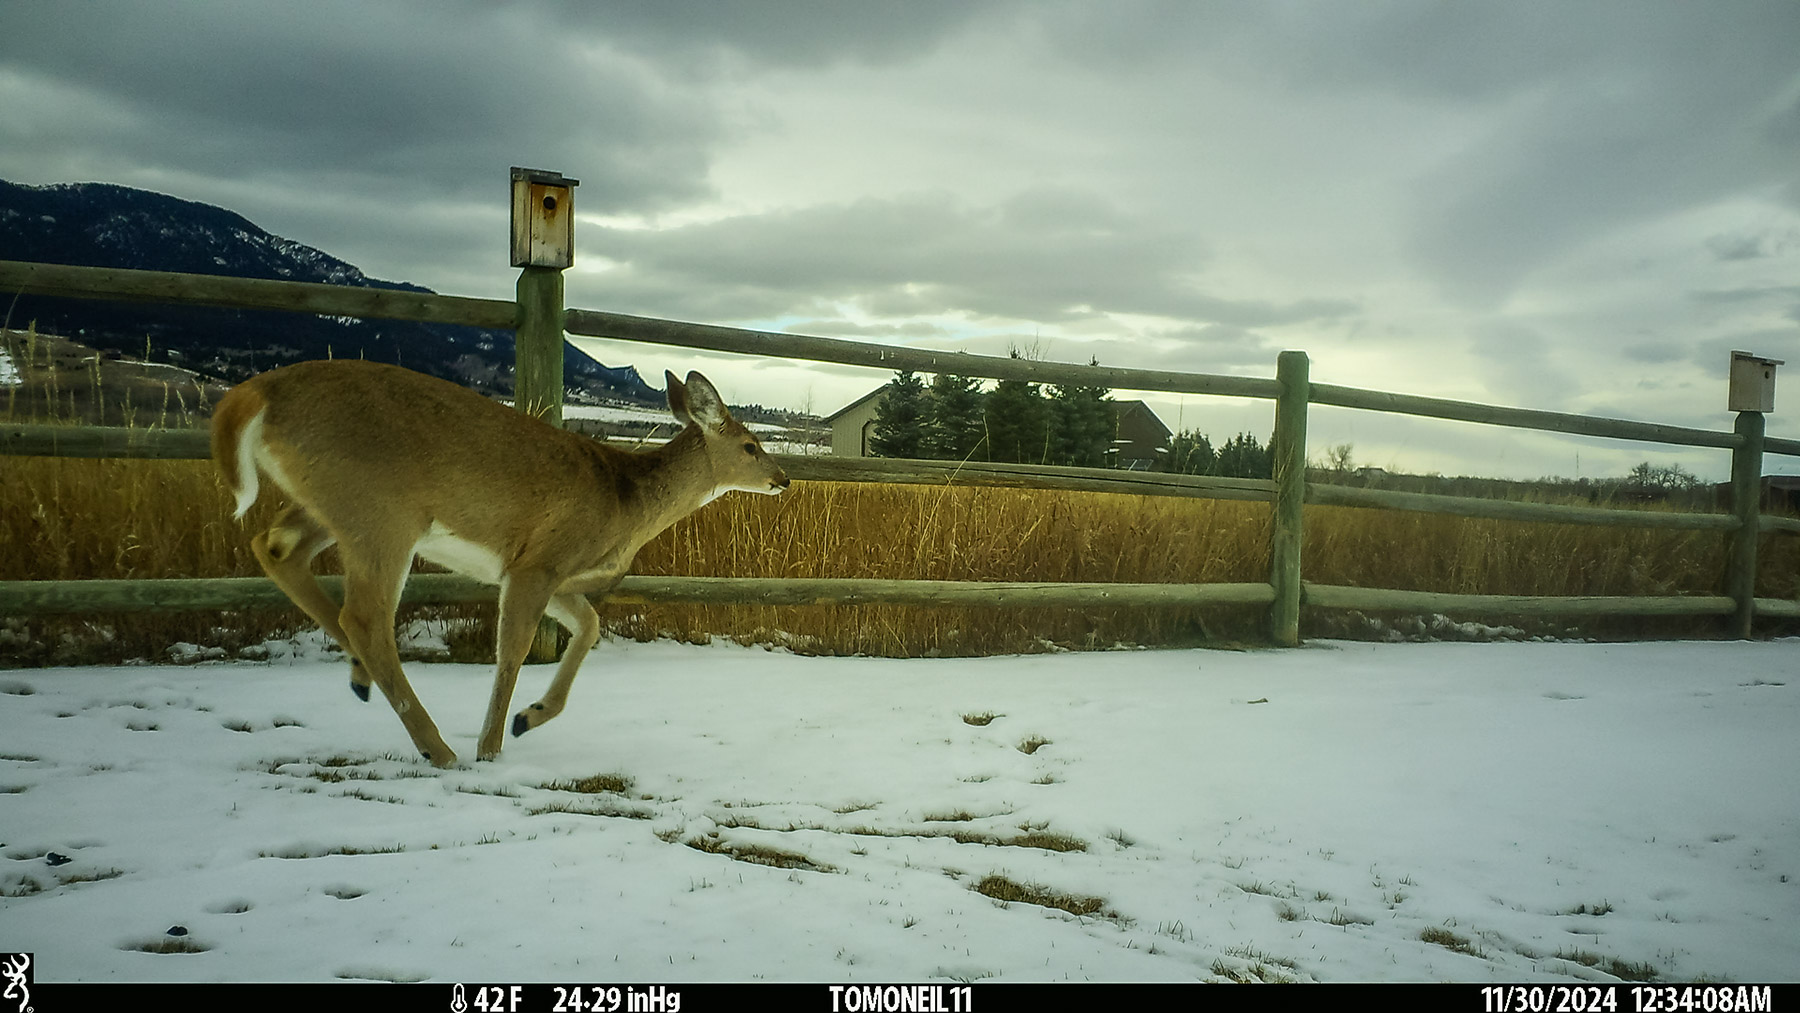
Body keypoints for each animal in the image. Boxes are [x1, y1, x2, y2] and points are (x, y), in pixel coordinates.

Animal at [210, 359, 789, 766]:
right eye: (751, 444)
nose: (783, 479)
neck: (626, 500)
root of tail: (251, 394)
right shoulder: (538, 563)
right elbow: (512, 651)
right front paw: (492, 746)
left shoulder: (552, 573)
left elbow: (590, 626)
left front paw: (529, 718)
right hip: (380, 510)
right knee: (366, 616)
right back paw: (438, 749)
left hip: (328, 505)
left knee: (273, 548)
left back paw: (361, 679)